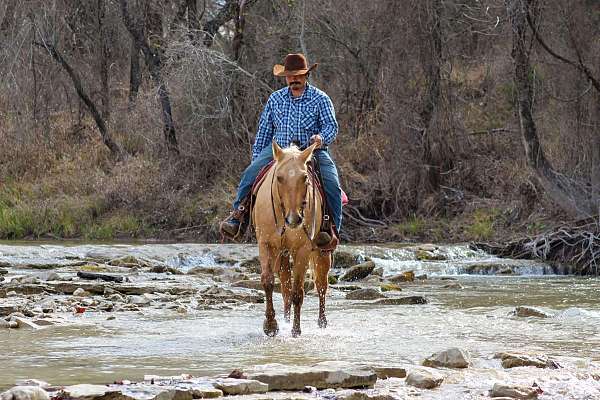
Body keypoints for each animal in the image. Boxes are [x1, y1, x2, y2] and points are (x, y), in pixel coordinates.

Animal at [250, 139, 330, 336]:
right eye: (279, 177)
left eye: (305, 178)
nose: (294, 219)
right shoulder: (265, 244)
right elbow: (268, 282)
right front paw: (271, 326)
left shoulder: (302, 249)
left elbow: (297, 292)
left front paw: (296, 330)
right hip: (282, 254)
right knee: (285, 287)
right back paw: (285, 319)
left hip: (322, 252)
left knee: (321, 285)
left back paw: (322, 322)